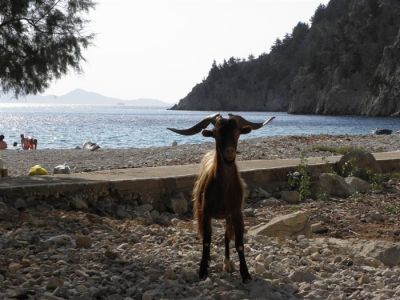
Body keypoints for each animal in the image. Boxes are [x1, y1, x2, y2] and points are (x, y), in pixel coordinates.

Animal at [167, 113, 274, 284]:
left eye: (237, 132)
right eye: (216, 133)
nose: (229, 154)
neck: (223, 190)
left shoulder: (236, 213)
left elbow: (238, 243)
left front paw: (245, 274)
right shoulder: (205, 212)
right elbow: (206, 241)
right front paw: (203, 270)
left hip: (228, 217)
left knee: (226, 237)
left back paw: (227, 263)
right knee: (207, 235)